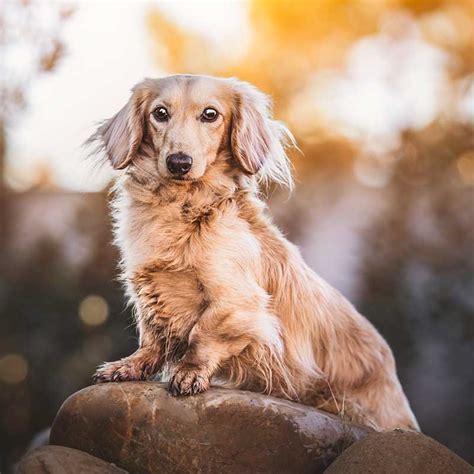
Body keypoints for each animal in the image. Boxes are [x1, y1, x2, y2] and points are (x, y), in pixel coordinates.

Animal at [89, 72, 418, 432]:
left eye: (210, 114)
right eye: (160, 113)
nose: (179, 163)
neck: (184, 207)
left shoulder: (237, 301)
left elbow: (203, 334)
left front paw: (189, 372)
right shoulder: (149, 291)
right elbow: (152, 337)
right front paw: (129, 366)